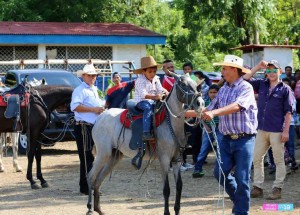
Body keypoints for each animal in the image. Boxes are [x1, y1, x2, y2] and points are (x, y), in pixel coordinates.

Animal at [86, 73, 204, 214]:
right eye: (183, 84)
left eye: (195, 84)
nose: (200, 103)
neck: (170, 123)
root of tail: (100, 118)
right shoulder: (164, 159)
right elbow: (166, 189)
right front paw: (166, 212)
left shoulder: (177, 159)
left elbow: (179, 186)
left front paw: (177, 210)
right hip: (103, 154)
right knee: (91, 177)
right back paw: (89, 208)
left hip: (114, 156)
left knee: (98, 180)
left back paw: (98, 209)